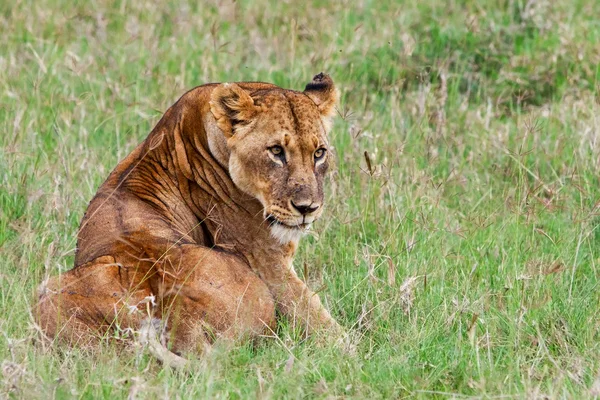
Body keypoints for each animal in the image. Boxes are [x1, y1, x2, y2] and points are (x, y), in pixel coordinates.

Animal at [35, 73, 340, 364]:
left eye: (319, 153)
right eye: (276, 151)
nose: (307, 208)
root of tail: (177, 317)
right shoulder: (264, 258)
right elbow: (317, 319)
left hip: (47, 295)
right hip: (258, 296)